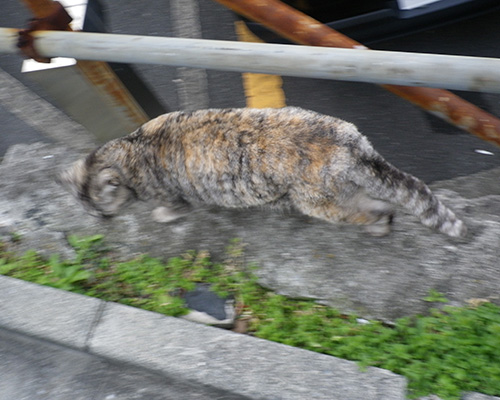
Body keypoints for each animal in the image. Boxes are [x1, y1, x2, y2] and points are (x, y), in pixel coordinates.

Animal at [58, 107, 464, 238]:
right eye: (89, 210)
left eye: (100, 209)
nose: (100, 222)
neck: (132, 148)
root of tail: (350, 141)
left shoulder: (169, 194)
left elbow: (172, 208)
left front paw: (161, 216)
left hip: (319, 201)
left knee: (368, 210)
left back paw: (379, 223)